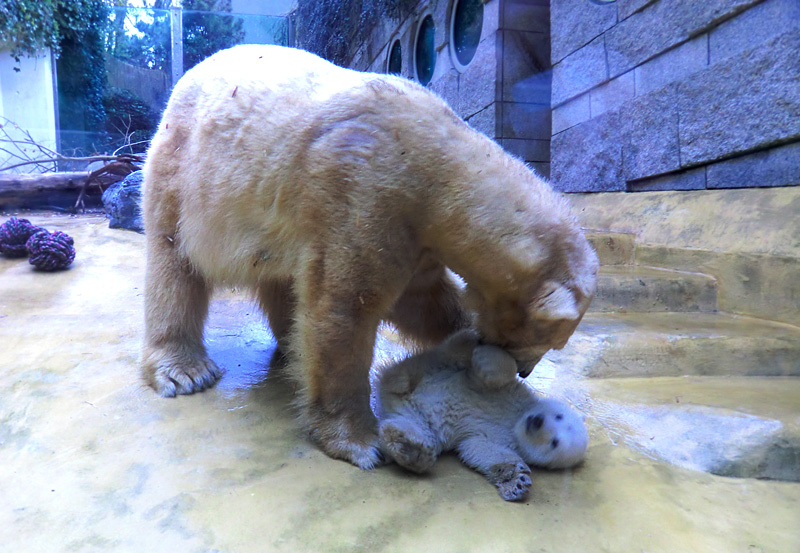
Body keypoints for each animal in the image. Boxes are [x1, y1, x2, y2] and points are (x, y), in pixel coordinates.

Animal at [144, 44, 596, 466]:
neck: (439, 162)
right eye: (544, 340)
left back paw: (289, 346)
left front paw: (462, 336)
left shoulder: (416, 230)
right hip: (185, 165)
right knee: (172, 259)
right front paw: (361, 441)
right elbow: (346, 306)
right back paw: (184, 370)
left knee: (280, 274)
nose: (525, 370)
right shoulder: (366, 191)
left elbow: (422, 301)